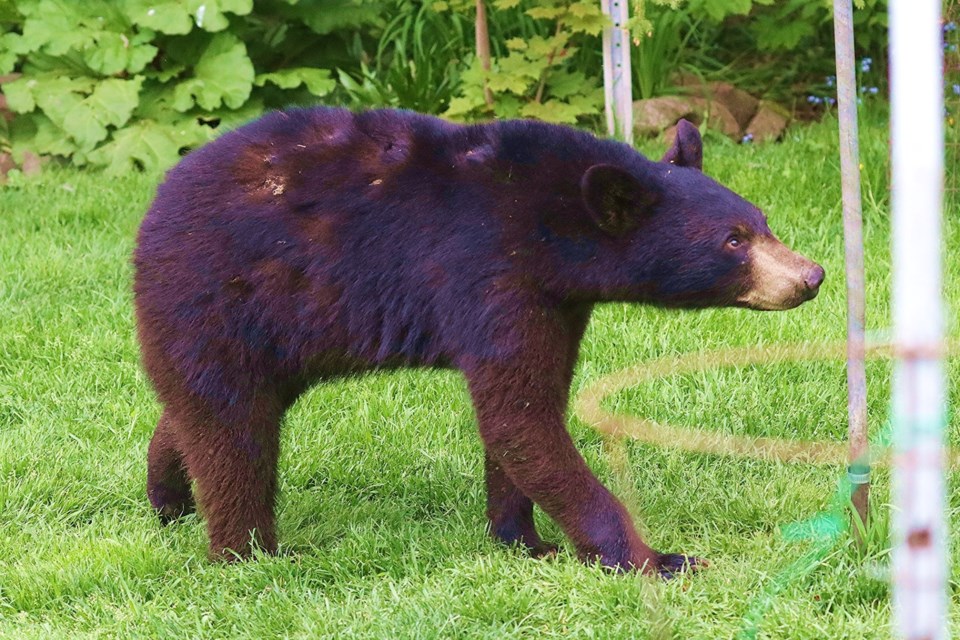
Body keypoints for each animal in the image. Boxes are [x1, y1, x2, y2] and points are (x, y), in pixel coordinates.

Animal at [137, 106, 824, 576]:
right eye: (733, 241)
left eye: (761, 222)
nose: (811, 276)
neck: (550, 226)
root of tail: (154, 207)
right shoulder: (492, 273)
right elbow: (520, 419)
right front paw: (656, 559)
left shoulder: (556, 300)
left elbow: (526, 413)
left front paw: (525, 540)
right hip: (221, 302)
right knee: (232, 431)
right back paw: (248, 553)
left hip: (280, 334)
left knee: (198, 412)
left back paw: (169, 500)